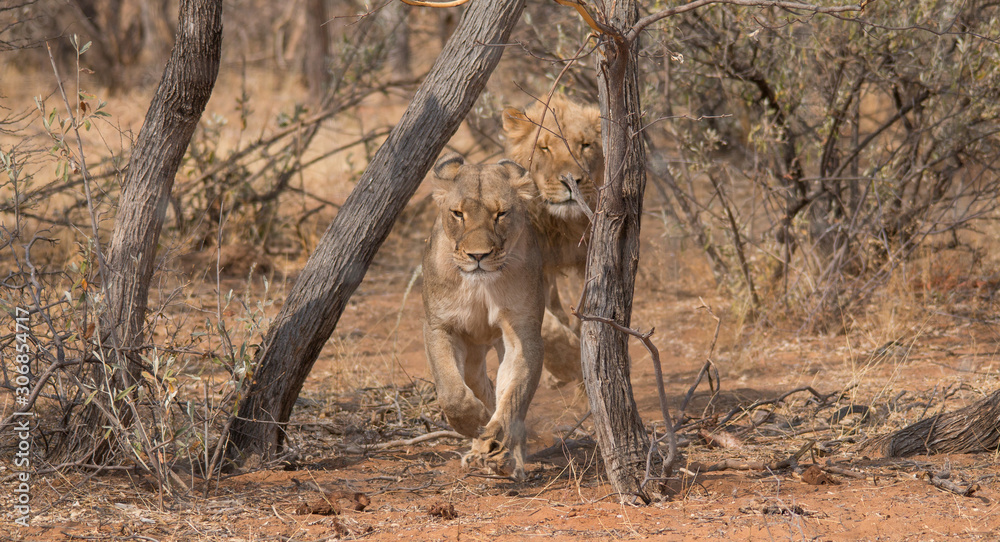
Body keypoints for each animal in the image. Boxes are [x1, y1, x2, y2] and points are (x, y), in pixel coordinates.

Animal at [422, 153, 545, 480]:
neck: (479, 285)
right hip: (473, 356)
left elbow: (513, 395)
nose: (478, 256)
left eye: (501, 214)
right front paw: (474, 421)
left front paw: (496, 441)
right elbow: (450, 392)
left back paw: (505, 458)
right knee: (481, 385)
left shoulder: (522, 331)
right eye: (457, 214)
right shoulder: (439, 326)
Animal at [502, 94, 604, 385]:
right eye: (544, 148)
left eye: (585, 145)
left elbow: (588, 313)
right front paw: (567, 363)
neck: (560, 224)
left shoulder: (590, 260)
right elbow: (546, 324)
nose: (571, 183)